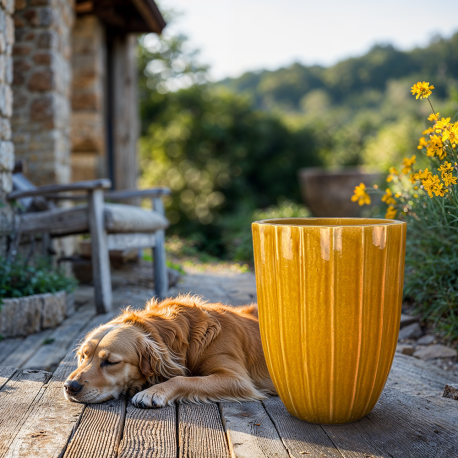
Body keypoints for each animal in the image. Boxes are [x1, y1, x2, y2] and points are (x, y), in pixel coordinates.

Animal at [63, 294, 276, 408]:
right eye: (83, 356)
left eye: (111, 362)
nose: (69, 386)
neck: (189, 338)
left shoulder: (236, 378)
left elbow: (184, 379)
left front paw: (152, 392)